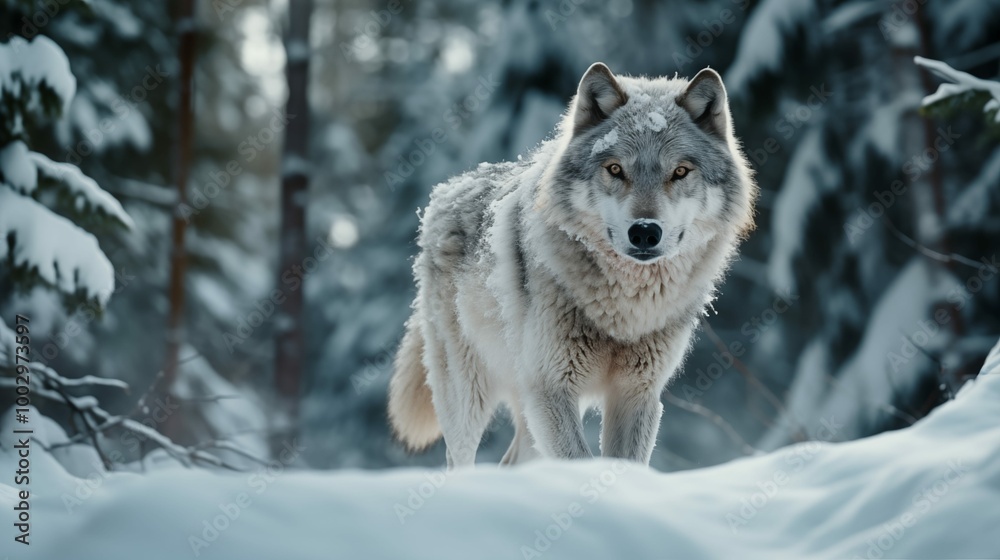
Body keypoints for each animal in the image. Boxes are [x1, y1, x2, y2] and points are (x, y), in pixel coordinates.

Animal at [388, 63, 756, 467]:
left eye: (679, 172)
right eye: (615, 169)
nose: (645, 232)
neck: (625, 310)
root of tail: (446, 191)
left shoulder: (637, 395)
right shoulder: (552, 388)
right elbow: (581, 460)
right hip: (469, 395)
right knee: (460, 459)